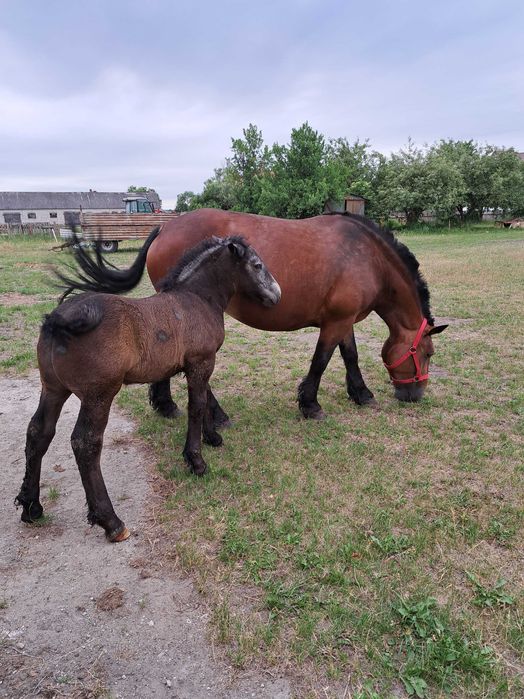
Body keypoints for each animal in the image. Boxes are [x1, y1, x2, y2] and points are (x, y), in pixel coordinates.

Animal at [14, 230, 280, 540]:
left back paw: (31, 506)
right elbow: (197, 405)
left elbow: (204, 399)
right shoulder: (201, 362)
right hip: (98, 395)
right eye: (257, 265)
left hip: (53, 388)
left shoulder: (198, 365)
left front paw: (212, 437)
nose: (277, 294)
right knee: (85, 443)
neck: (197, 299)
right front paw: (196, 461)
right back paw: (111, 521)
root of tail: (59, 319)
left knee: (38, 432)